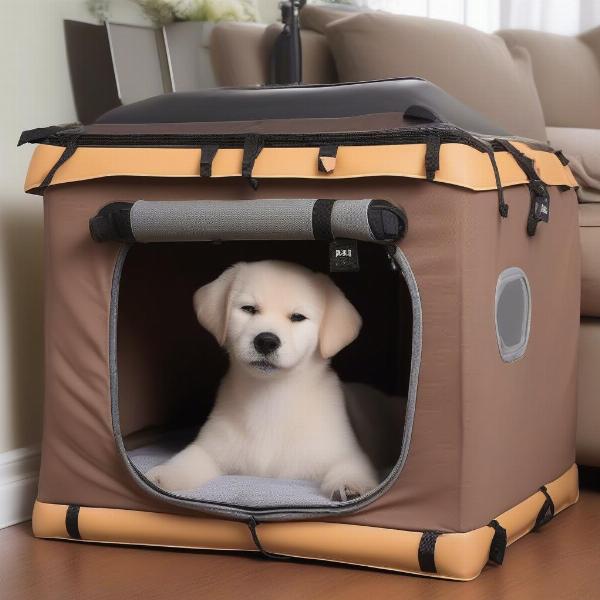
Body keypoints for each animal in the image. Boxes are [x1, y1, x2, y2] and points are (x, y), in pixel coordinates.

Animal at [146, 260, 376, 500]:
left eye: (297, 317)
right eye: (249, 309)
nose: (266, 341)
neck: (269, 397)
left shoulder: (345, 453)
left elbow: (350, 466)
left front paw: (350, 484)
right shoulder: (210, 448)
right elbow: (186, 460)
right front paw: (162, 476)